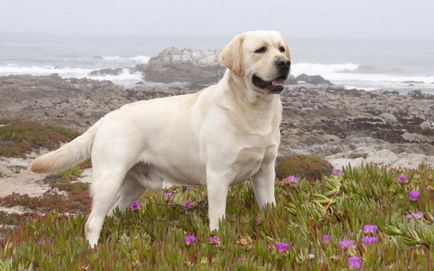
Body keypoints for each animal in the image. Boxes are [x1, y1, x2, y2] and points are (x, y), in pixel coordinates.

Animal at [28, 30, 290, 249]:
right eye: (260, 50)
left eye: (282, 48)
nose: (285, 63)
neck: (253, 111)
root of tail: (105, 119)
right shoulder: (218, 175)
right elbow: (218, 216)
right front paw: (217, 238)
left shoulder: (265, 172)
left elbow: (269, 206)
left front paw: (272, 226)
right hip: (109, 178)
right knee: (92, 221)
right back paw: (93, 251)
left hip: (133, 185)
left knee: (112, 213)